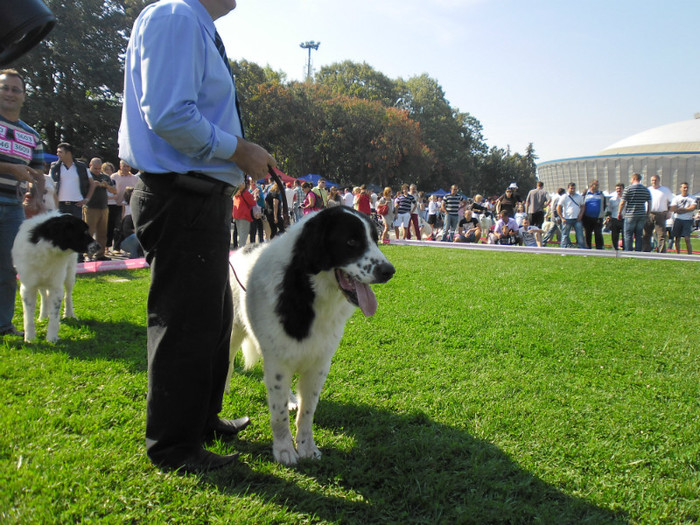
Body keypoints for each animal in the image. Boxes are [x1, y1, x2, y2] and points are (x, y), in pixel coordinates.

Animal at [11, 211, 99, 342]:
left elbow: (54, 315)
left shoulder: (56, 286)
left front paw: (51, 338)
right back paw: (43, 316)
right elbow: (28, 316)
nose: (99, 246)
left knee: (68, 295)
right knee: (44, 296)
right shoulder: (28, 287)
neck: (48, 249)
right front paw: (30, 338)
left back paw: (69, 314)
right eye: (83, 232)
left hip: (69, 276)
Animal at [228, 205, 394, 462]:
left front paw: (306, 448)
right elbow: (278, 415)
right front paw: (284, 450)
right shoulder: (278, 362)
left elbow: (307, 411)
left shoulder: (318, 364)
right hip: (234, 330)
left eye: (375, 240)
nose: (389, 271)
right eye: (351, 241)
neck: (307, 291)